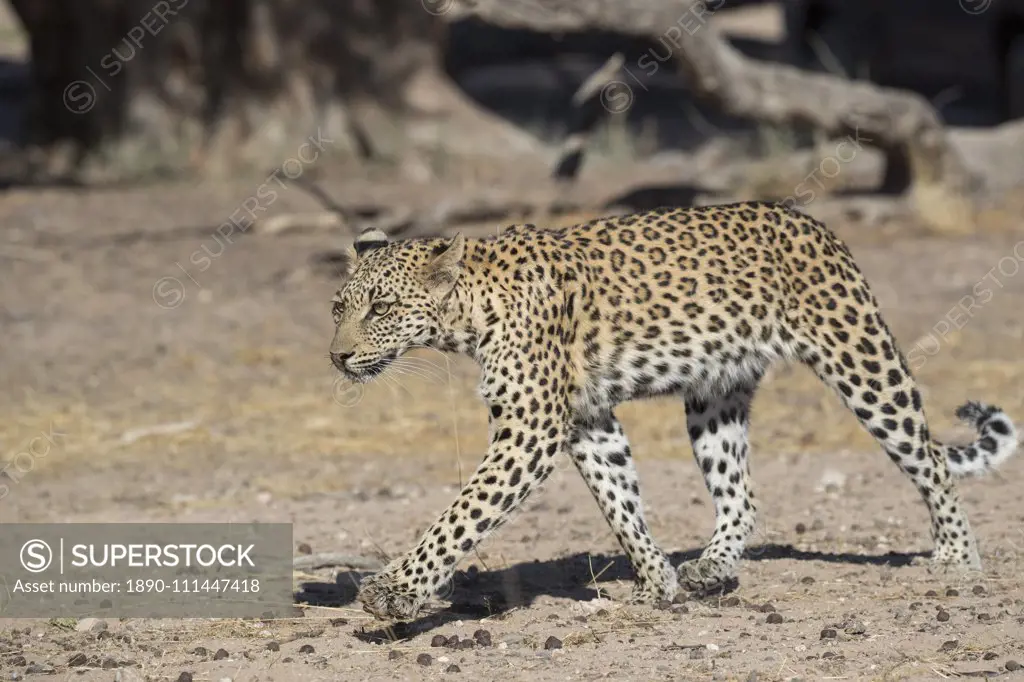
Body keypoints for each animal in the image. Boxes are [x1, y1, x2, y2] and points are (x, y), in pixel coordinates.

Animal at [331, 199, 1019, 618]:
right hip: (714, 397)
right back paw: (709, 570)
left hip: (861, 360)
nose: (337, 356)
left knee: (929, 458)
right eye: (340, 307)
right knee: (741, 495)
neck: (469, 313)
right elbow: (619, 501)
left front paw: (395, 590)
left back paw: (957, 558)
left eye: (382, 309)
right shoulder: (587, 420)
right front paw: (657, 582)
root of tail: (803, 217)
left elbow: (461, 515)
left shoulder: (530, 429)